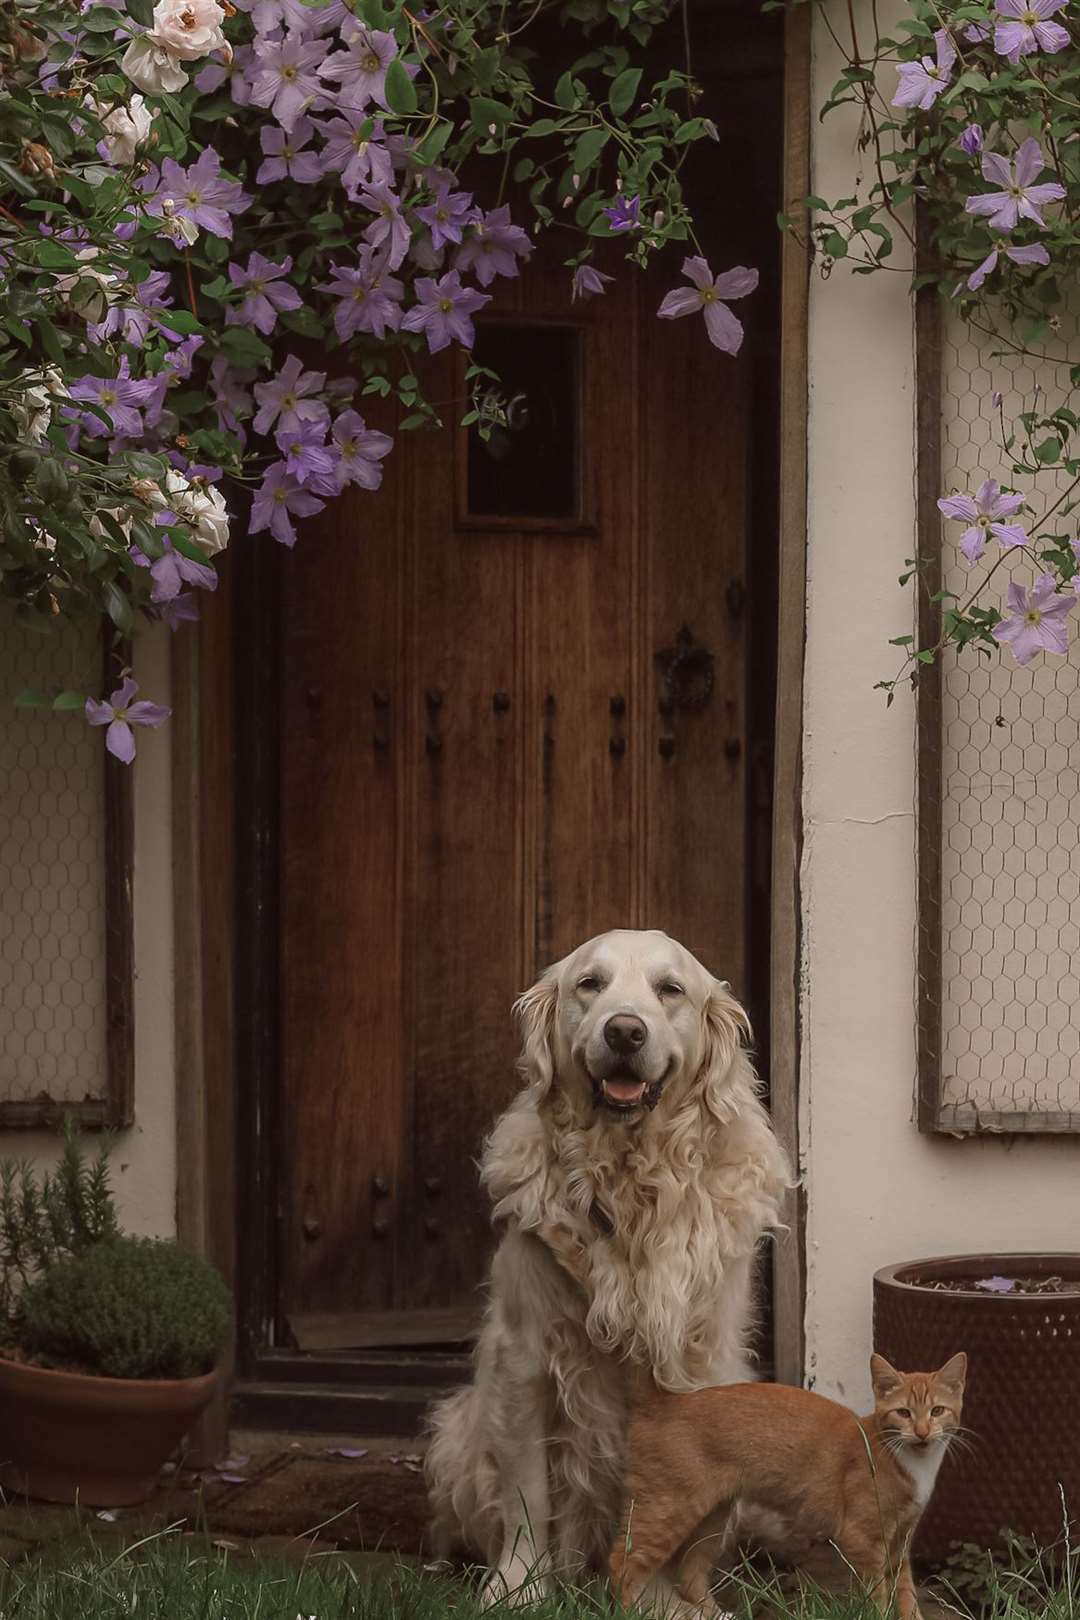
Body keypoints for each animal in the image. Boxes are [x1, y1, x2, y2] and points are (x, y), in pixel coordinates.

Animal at [424, 933, 793, 1600]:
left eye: (670, 990)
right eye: (589, 984)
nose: (624, 1031)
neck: (629, 1183)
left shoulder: (688, 1370)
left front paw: (661, 1600)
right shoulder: (526, 1357)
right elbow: (526, 1497)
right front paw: (516, 1590)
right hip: (456, 1435)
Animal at [608, 1354, 971, 1620]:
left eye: (937, 1411)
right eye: (903, 1413)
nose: (922, 1432)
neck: (910, 1463)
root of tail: (660, 1402)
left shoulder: (899, 1544)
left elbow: (906, 1594)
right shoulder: (862, 1540)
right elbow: (878, 1594)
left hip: (712, 1518)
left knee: (689, 1573)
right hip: (668, 1509)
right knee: (622, 1564)